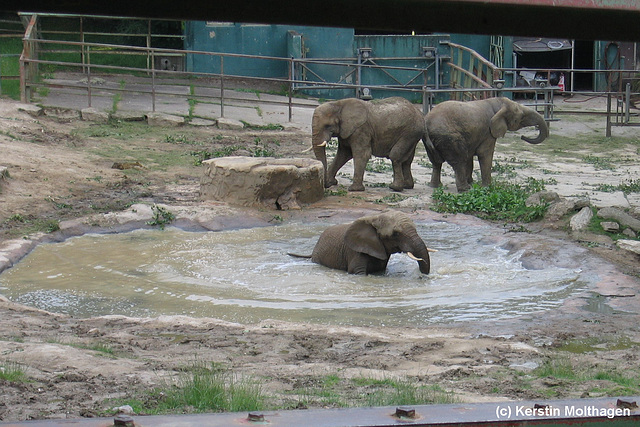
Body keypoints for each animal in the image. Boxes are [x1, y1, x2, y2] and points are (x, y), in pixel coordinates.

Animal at [424, 97, 552, 192]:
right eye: (521, 117)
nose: (522, 137)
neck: (498, 102)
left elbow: (470, 157)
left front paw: (473, 182)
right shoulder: (488, 132)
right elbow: (484, 154)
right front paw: (487, 187)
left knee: (436, 163)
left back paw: (436, 186)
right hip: (449, 138)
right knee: (458, 161)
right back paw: (465, 189)